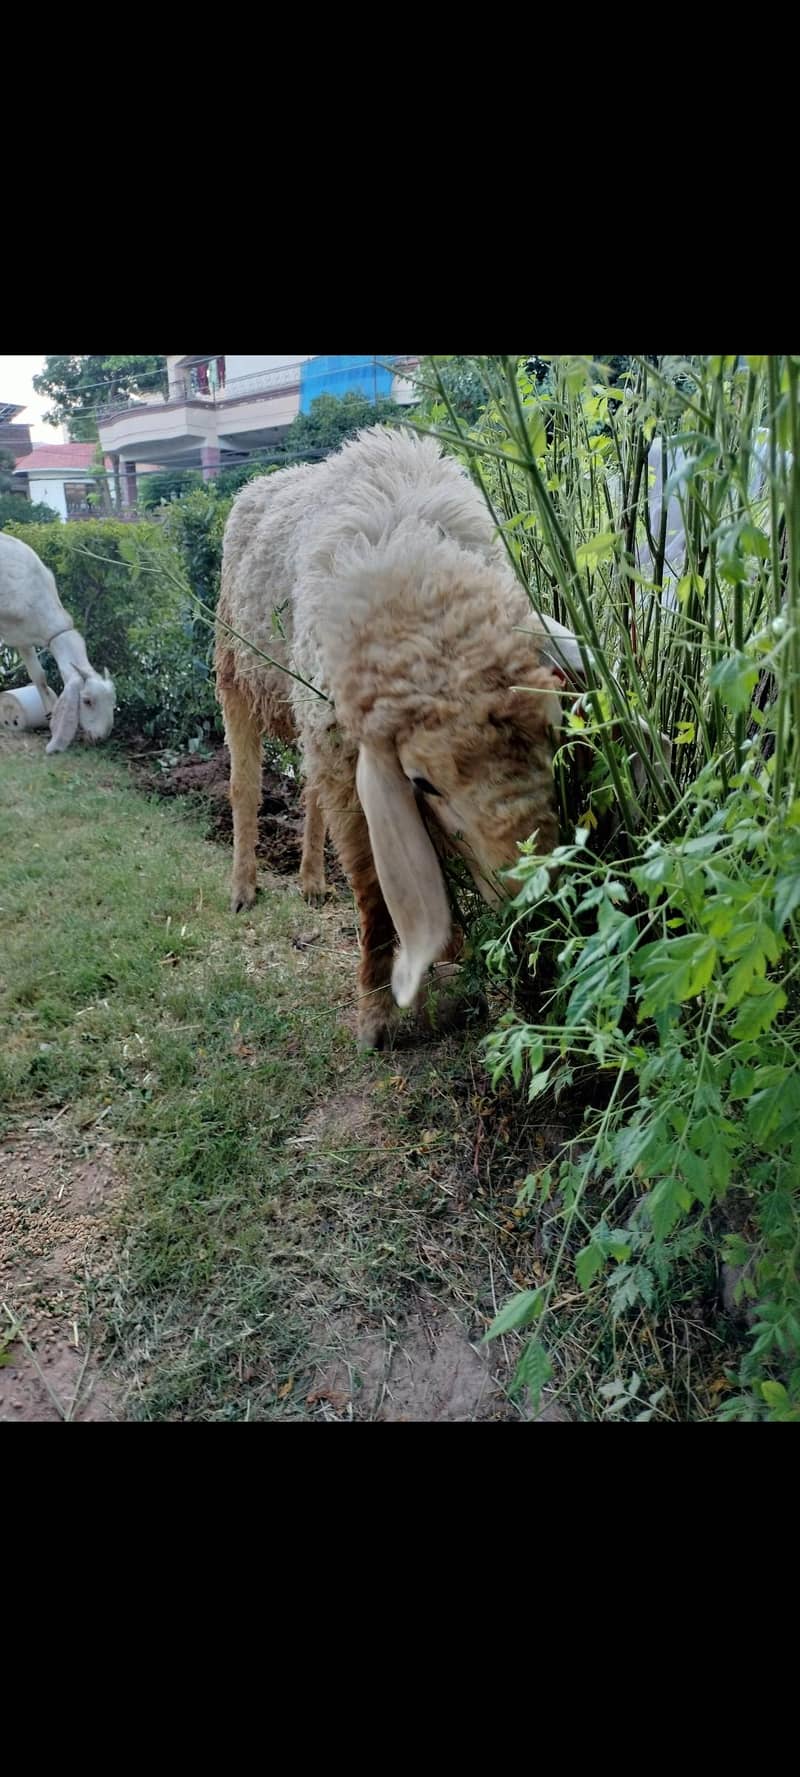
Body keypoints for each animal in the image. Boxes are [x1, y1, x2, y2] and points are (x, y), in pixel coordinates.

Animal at [0, 531, 116, 754]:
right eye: (87, 701)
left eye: (113, 701)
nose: (100, 738)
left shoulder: (22, 635)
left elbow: (39, 676)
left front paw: (50, 713)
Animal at [216, 426, 582, 1047]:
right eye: (421, 782)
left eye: (553, 739)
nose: (533, 889)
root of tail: (261, 481)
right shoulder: (354, 768)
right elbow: (376, 897)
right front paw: (377, 1015)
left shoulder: (335, 739)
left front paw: (453, 957)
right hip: (235, 674)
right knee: (245, 788)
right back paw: (244, 886)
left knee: (310, 793)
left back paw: (312, 881)